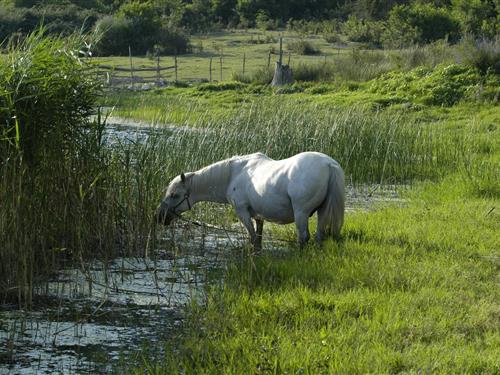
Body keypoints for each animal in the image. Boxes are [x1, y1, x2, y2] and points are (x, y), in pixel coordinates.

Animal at [156, 153, 344, 250]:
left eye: (175, 195)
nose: (160, 217)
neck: (234, 173)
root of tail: (329, 164)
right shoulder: (258, 215)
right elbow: (258, 238)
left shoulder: (242, 212)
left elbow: (252, 237)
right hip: (321, 212)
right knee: (319, 236)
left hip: (301, 213)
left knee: (303, 237)